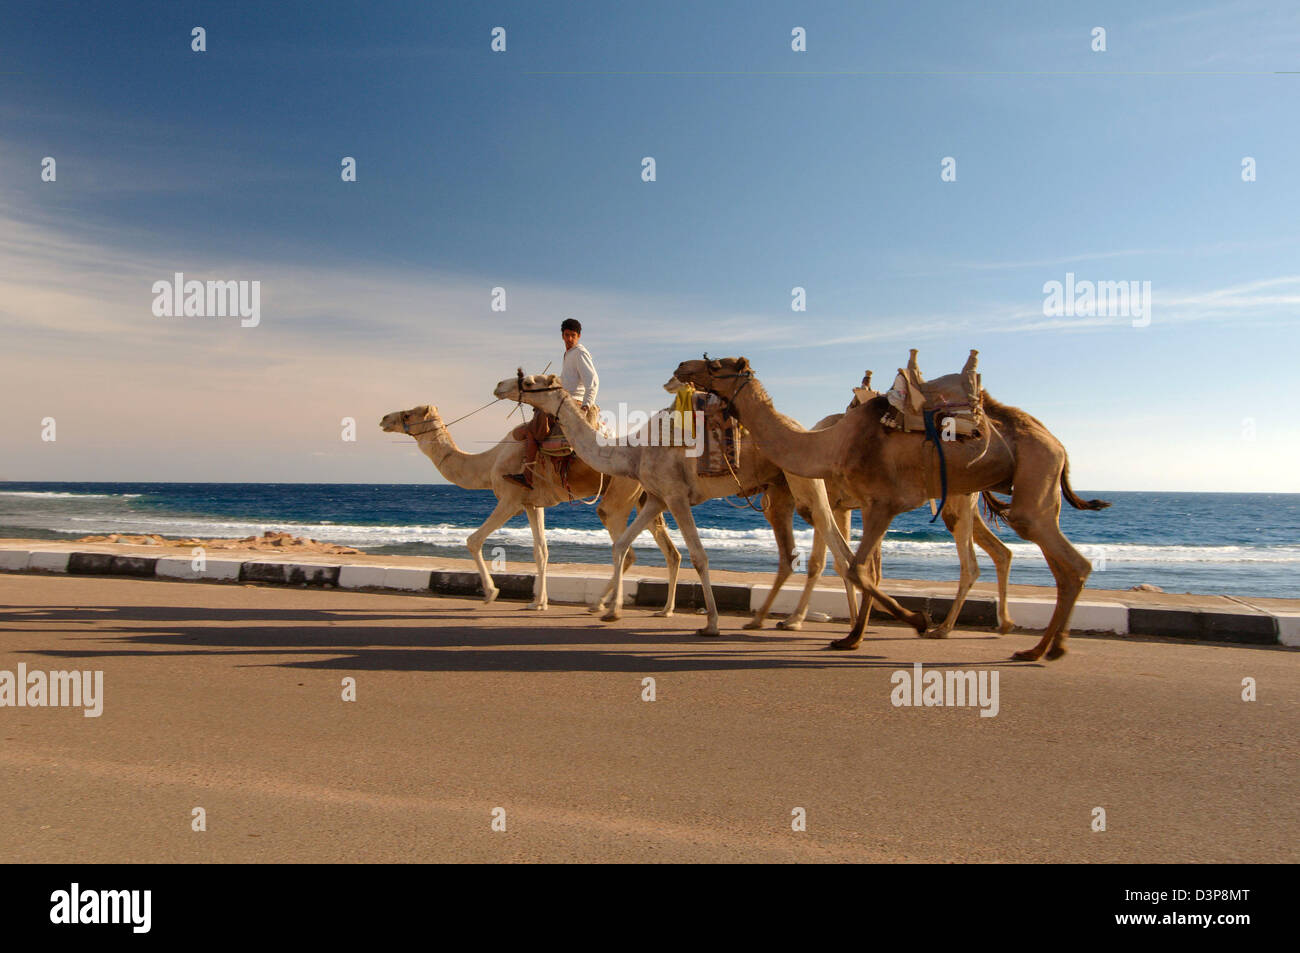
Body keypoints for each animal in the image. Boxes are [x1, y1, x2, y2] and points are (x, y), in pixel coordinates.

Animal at [379, 400, 681, 608]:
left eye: (407, 414)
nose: (384, 418)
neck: (489, 462)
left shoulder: (510, 499)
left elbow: (474, 540)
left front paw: (491, 593)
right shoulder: (533, 505)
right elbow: (541, 551)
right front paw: (538, 603)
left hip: (619, 495)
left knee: (623, 546)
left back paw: (600, 604)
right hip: (645, 497)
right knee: (669, 550)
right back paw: (664, 609)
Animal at [491, 374, 899, 634]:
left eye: (531, 381)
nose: (500, 385)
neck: (632, 450)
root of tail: (805, 430)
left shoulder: (675, 496)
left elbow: (700, 557)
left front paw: (712, 623)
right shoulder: (656, 497)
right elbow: (622, 545)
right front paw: (612, 612)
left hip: (806, 485)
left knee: (833, 544)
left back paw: (840, 625)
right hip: (786, 491)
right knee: (818, 550)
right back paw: (787, 621)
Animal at [676, 356, 1112, 660]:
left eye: (715, 365)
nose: (682, 366)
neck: (829, 445)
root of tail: (1059, 445)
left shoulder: (878, 503)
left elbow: (851, 567)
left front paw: (914, 620)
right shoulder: (860, 505)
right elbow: (862, 568)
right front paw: (852, 636)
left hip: (1024, 483)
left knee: (1059, 563)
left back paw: (1002, 640)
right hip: (1028, 493)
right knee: (1048, 563)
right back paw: (1040, 644)